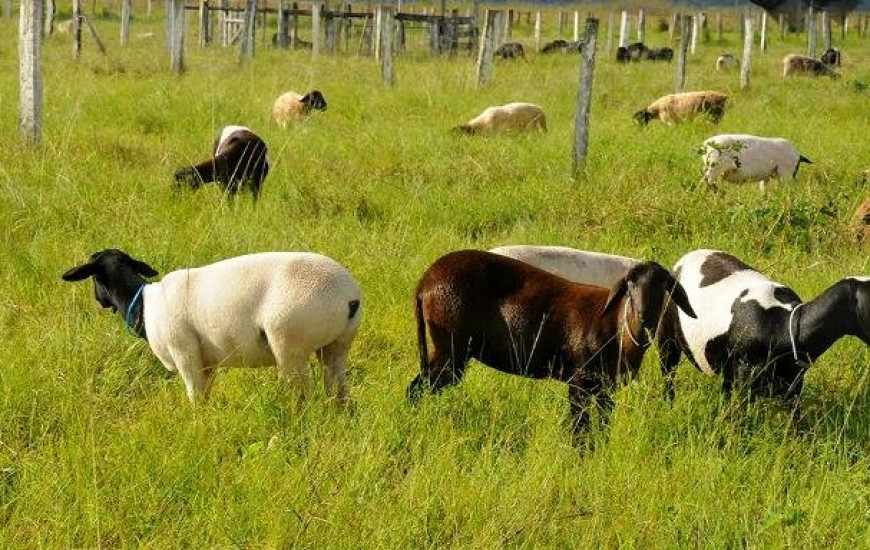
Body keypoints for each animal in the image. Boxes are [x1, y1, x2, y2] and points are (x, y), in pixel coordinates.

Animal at [61, 250, 362, 406]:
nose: (99, 300)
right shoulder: (207, 361)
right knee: (340, 391)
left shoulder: (184, 351)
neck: (144, 305)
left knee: (301, 395)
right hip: (336, 346)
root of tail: (349, 295)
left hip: (289, 343)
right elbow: (205, 394)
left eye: (94, 278)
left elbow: (194, 396)